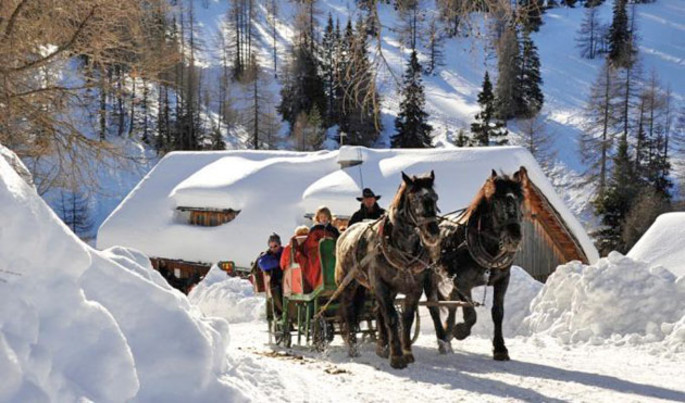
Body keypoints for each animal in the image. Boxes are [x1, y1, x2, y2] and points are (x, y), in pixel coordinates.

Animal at [336, 170, 440, 370]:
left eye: (435, 197)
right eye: (414, 198)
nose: (432, 232)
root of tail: (344, 233)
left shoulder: (414, 289)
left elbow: (406, 319)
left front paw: (406, 353)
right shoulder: (381, 285)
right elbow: (392, 317)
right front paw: (397, 357)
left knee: (378, 312)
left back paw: (382, 346)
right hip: (349, 284)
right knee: (349, 312)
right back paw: (353, 347)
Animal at [428, 166, 528, 362]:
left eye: (520, 199)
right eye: (496, 201)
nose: (514, 237)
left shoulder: (502, 280)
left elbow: (498, 313)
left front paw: (500, 348)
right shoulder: (462, 283)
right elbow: (470, 313)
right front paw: (460, 331)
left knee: (451, 304)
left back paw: (447, 333)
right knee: (435, 305)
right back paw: (444, 336)